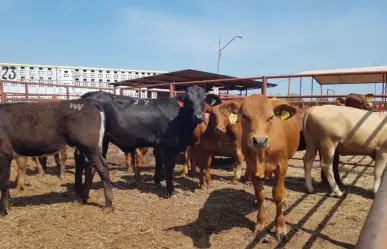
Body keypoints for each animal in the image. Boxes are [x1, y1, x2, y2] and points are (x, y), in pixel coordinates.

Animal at [78, 85, 221, 196]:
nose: (198, 117)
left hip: (103, 140)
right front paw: (171, 191)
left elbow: (162, 163)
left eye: (204, 100)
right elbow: (168, 167)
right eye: (188, 100)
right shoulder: (167, 145)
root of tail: (90, 94)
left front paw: (158, 182)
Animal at [229, 94, 302, 240]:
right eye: (244, 116)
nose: (260, 140)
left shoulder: (282, 165)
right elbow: (260, 194)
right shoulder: (251, 168)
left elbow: (278, 194)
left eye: (271, 117)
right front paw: (260, 223)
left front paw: (280, 228)